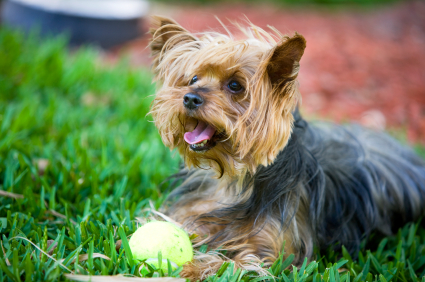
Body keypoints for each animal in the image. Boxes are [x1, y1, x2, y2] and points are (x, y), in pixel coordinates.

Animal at [147, 16, 424, 280]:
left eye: (235, 85)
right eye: (193, 78)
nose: (189, 98)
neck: (236, 178)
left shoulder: (276, 252)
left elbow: (238, 263)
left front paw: (190, 267)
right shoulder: (199, 208)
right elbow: (180, 223)